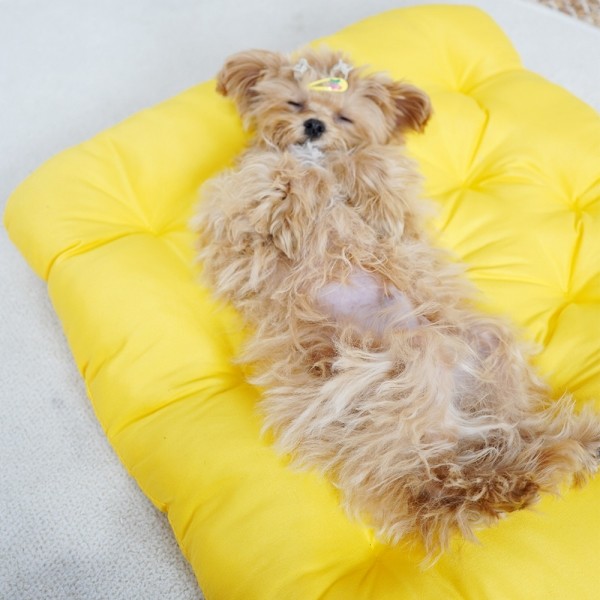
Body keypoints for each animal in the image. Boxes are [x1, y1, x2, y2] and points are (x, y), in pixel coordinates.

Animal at [194, 47, 600, 559]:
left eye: (345, 116)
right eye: (293, 103)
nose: (313, 126)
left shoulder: (400, 217)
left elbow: (372, 171)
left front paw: (354, 178)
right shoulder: (234, 213)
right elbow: (278, 177)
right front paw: (302, 190)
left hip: (488, 347)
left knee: (482, 447)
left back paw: (567, 448)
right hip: (403, 370)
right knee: (433, 480)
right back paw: (528, 472)